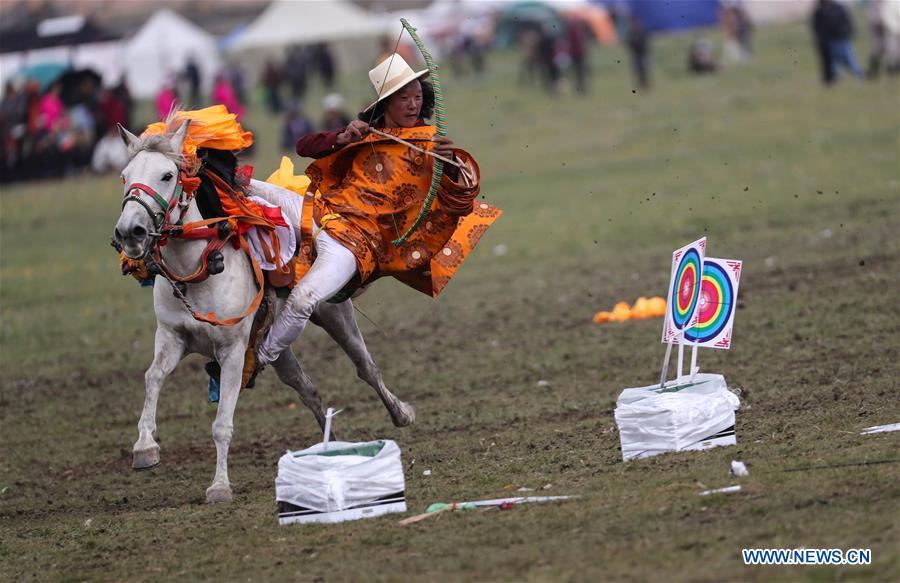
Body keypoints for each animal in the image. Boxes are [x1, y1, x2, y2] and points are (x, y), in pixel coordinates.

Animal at [113, 122, 418, 502]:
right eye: (125, 176)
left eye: (167, 175)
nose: (130, 232)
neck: (198, 272)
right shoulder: (171, 338)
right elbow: (152, 378)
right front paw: (145, 448)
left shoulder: (231, 352)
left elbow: (222, 424)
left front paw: (219, 486)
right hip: (274, 345)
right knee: (307, 388)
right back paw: (328, 448)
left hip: (332, 315)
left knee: (366, 368)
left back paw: (402, 413)